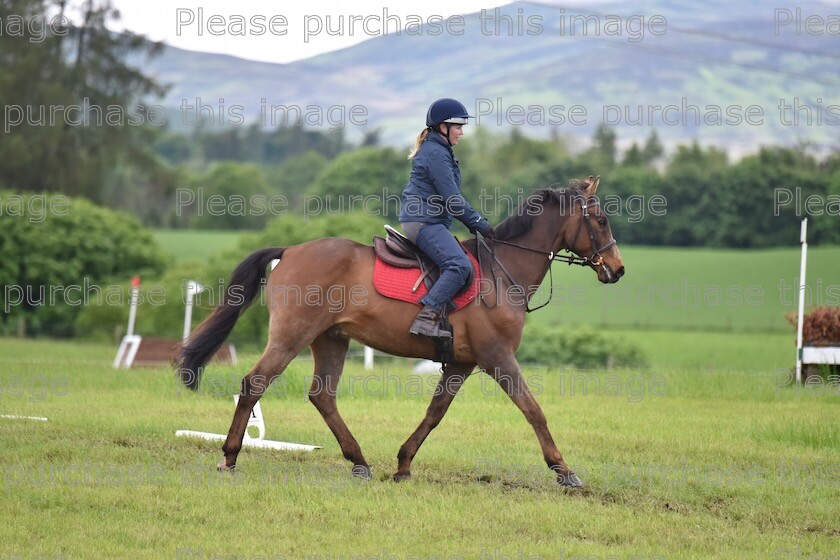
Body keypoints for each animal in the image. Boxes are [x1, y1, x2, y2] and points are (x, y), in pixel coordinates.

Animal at [177, 175, 624, 486]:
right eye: (601, 220)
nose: (618, 270)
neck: (502, 271)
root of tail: (291, 250)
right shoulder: (498, 357)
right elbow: (534, 410)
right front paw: (563, 470)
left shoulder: (461, 363)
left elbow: (434, 414)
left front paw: (404, 464)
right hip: (292, 337)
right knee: (254, 384)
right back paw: (230, 457)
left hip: (330, 339)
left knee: (323, 396)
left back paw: (359, 462)